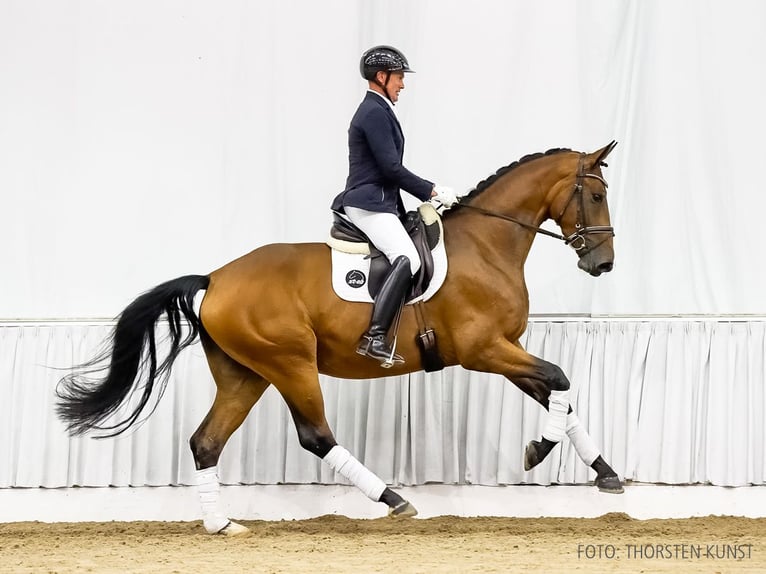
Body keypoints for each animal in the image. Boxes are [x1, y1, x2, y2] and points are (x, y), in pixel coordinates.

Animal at [58, 142, 624, 536]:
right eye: (596, 196)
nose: (603, 264)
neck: (487, 245)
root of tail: (214, 278)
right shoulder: (484, 350)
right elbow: (559, 380)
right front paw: (539, 450)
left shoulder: (505, 350)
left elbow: (560, 396)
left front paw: (605, 473)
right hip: (290, 363)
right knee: (315, 435)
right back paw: (393, 500)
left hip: (246, 374)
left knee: (206, 442)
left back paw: (222, 525)